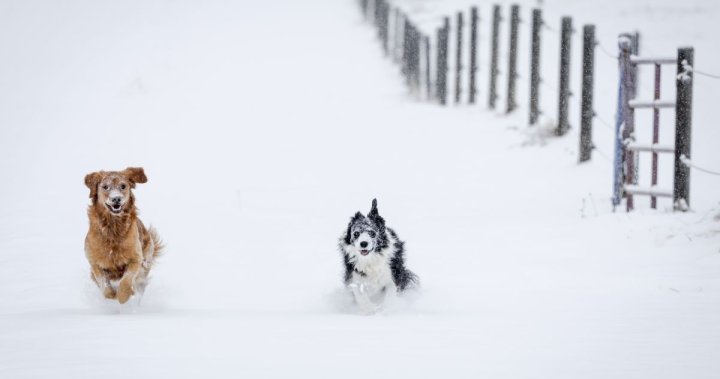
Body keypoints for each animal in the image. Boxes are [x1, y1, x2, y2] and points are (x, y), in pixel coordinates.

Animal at [83, 168, 164, 304]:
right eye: (105, 187)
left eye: (123, 186)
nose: (116, 199)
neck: (113, 227)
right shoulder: (94, 262)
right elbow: (104, 284)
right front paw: (111, 294)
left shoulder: (136, 259)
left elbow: (126, 280)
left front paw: (123, 296)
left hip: (146, 261)